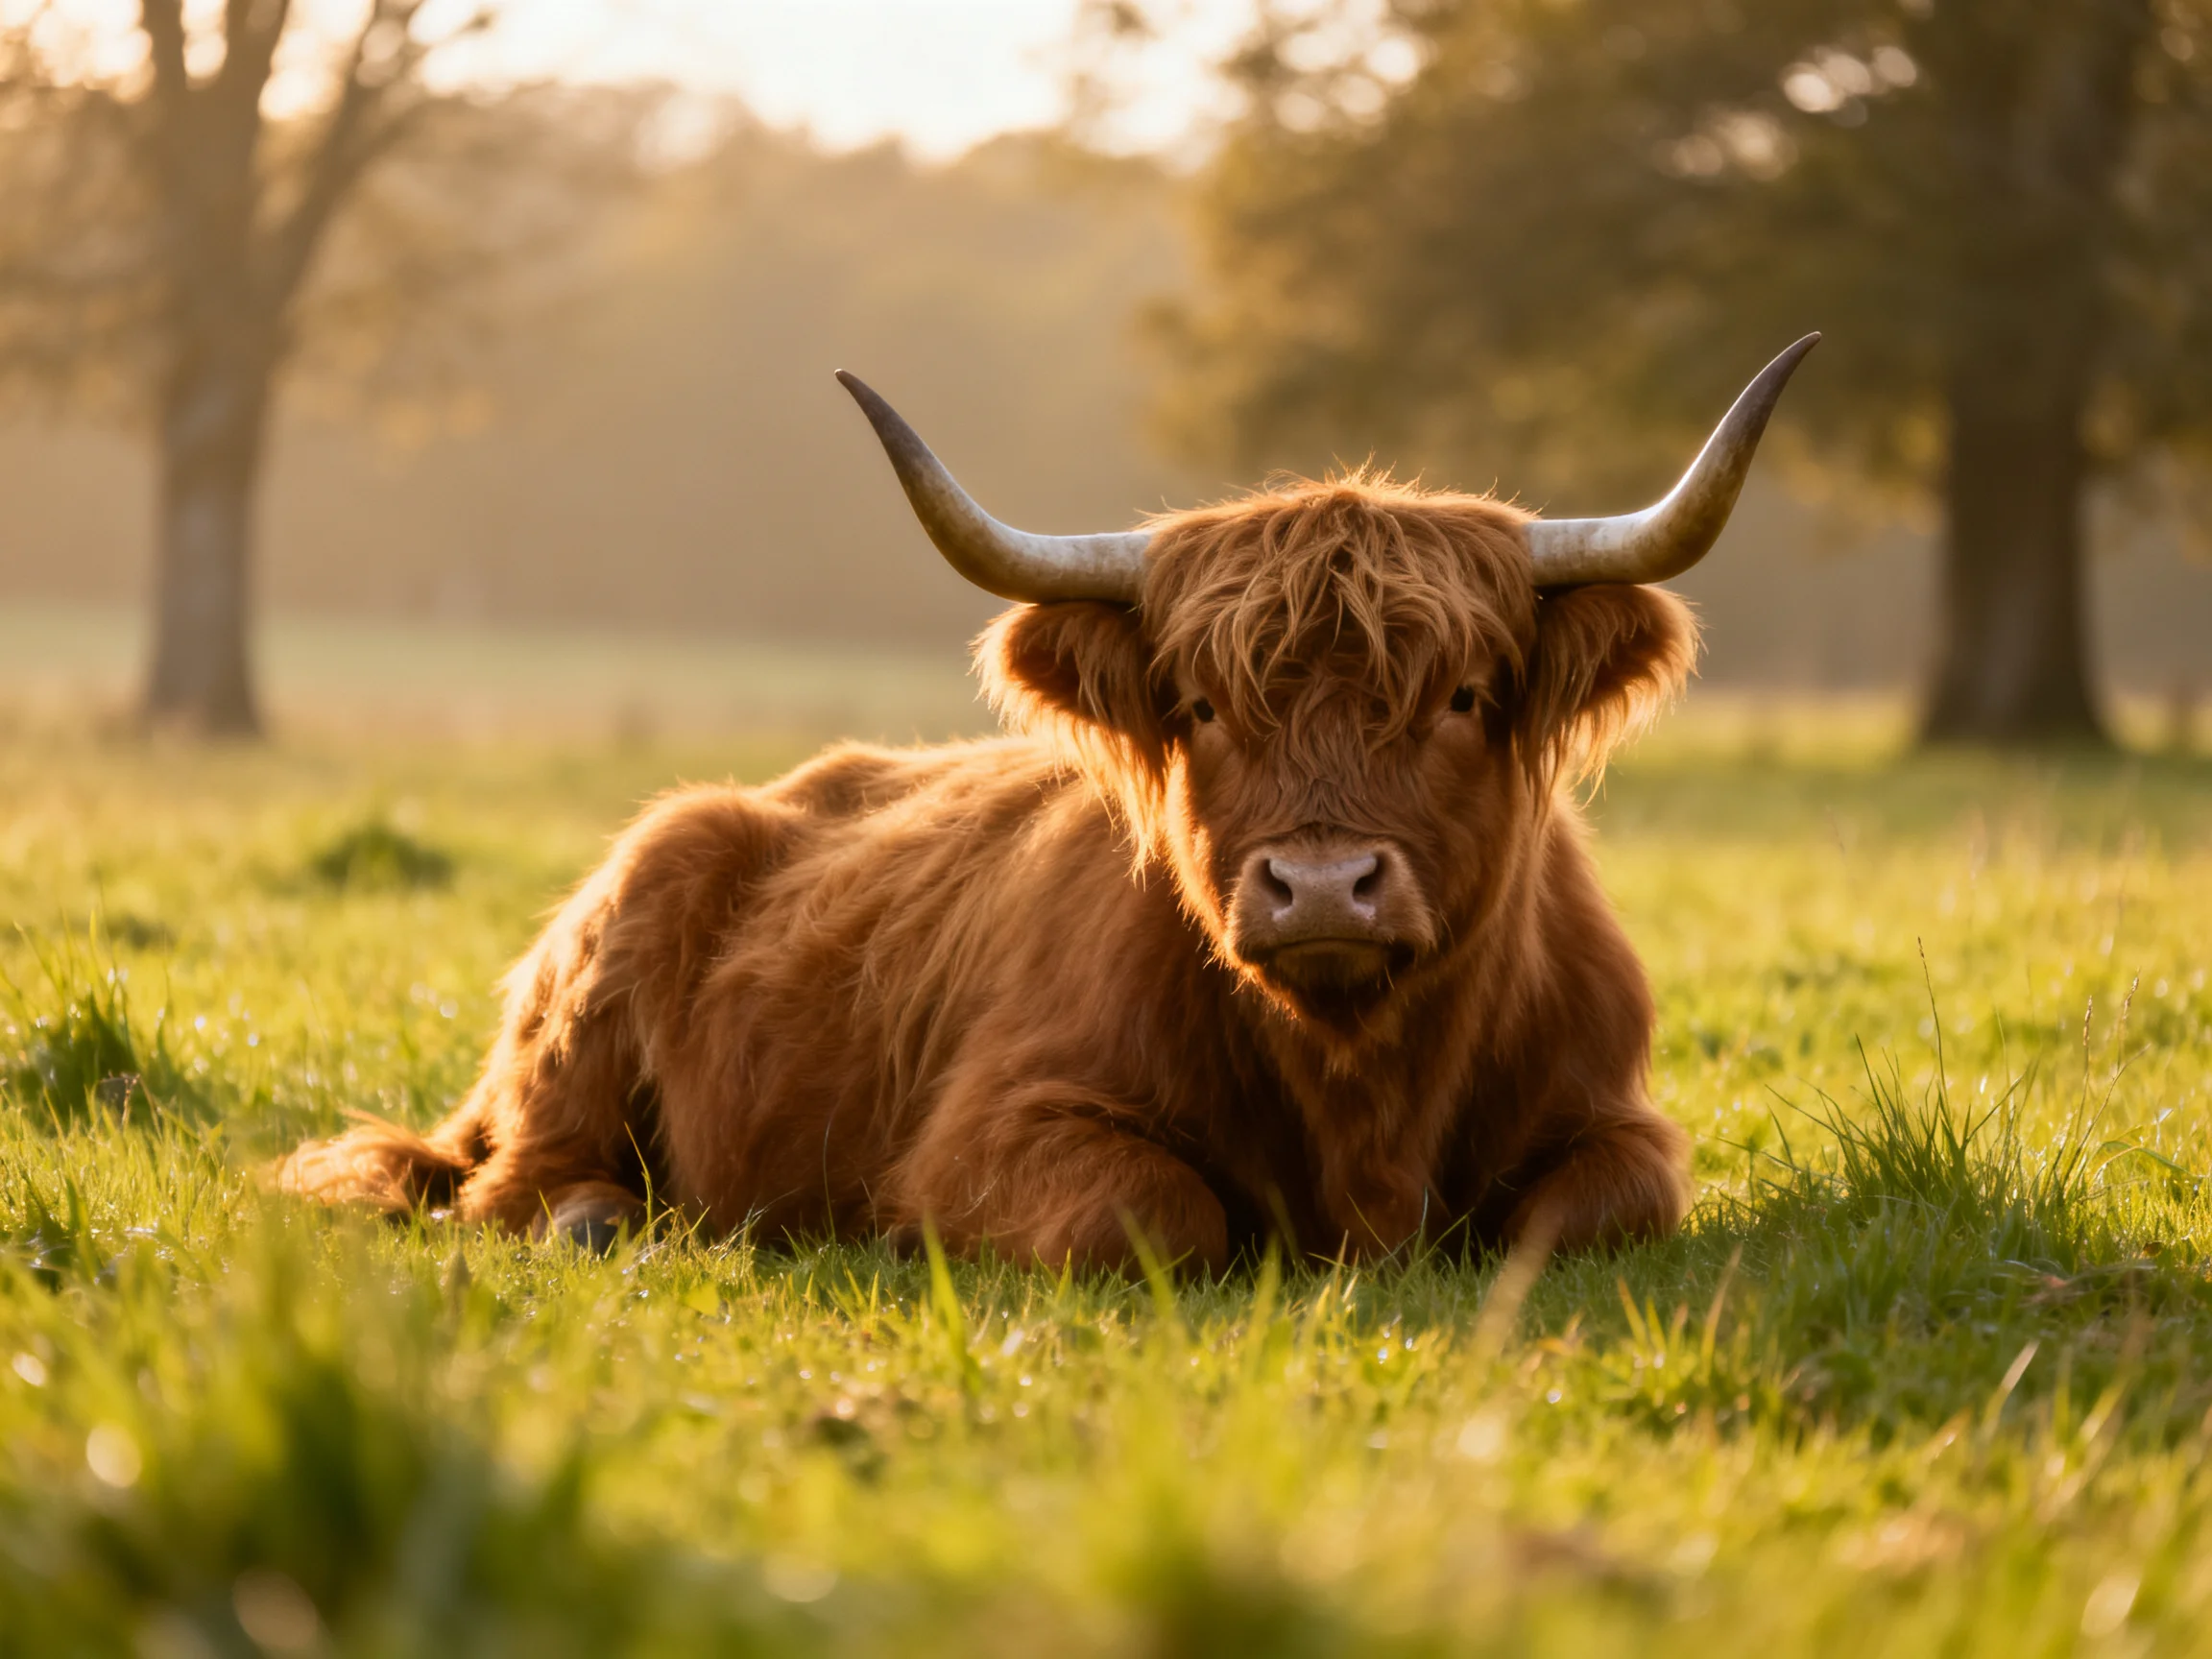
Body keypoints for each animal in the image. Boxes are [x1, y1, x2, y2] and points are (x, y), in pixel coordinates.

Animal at [278, 336, 1818, 1272]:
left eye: (1462, 698)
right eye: (1201, 705)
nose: (1323, 888)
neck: (1361, 1096)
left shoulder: (1614, 1118)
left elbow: (1592, 1213)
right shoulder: (991, 1132)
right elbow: (1163, 1214)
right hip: (585, 1015)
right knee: (514, 1184)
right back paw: (603, 1219)